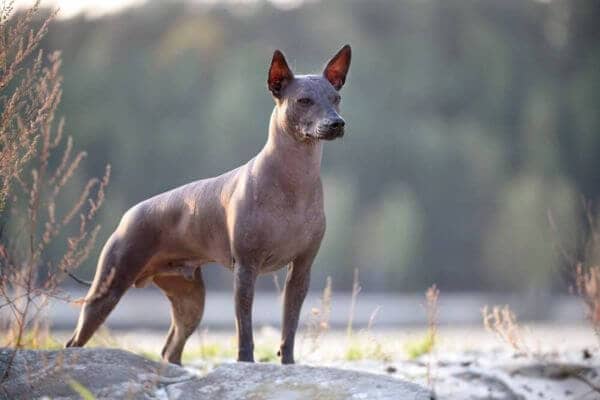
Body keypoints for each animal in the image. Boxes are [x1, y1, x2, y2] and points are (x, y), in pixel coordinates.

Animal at [67, 44, 352, 366]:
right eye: (304, 101)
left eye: (336, 99)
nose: (336, 123)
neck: (294, 180)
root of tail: (129, 215)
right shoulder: (246, 269)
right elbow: (245, 330)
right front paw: (246, 364)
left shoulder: (301, 271)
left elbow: (288, 328)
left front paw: (288, 364)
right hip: (108, 289)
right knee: (75, 341)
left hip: (190, 300)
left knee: (171, 349)